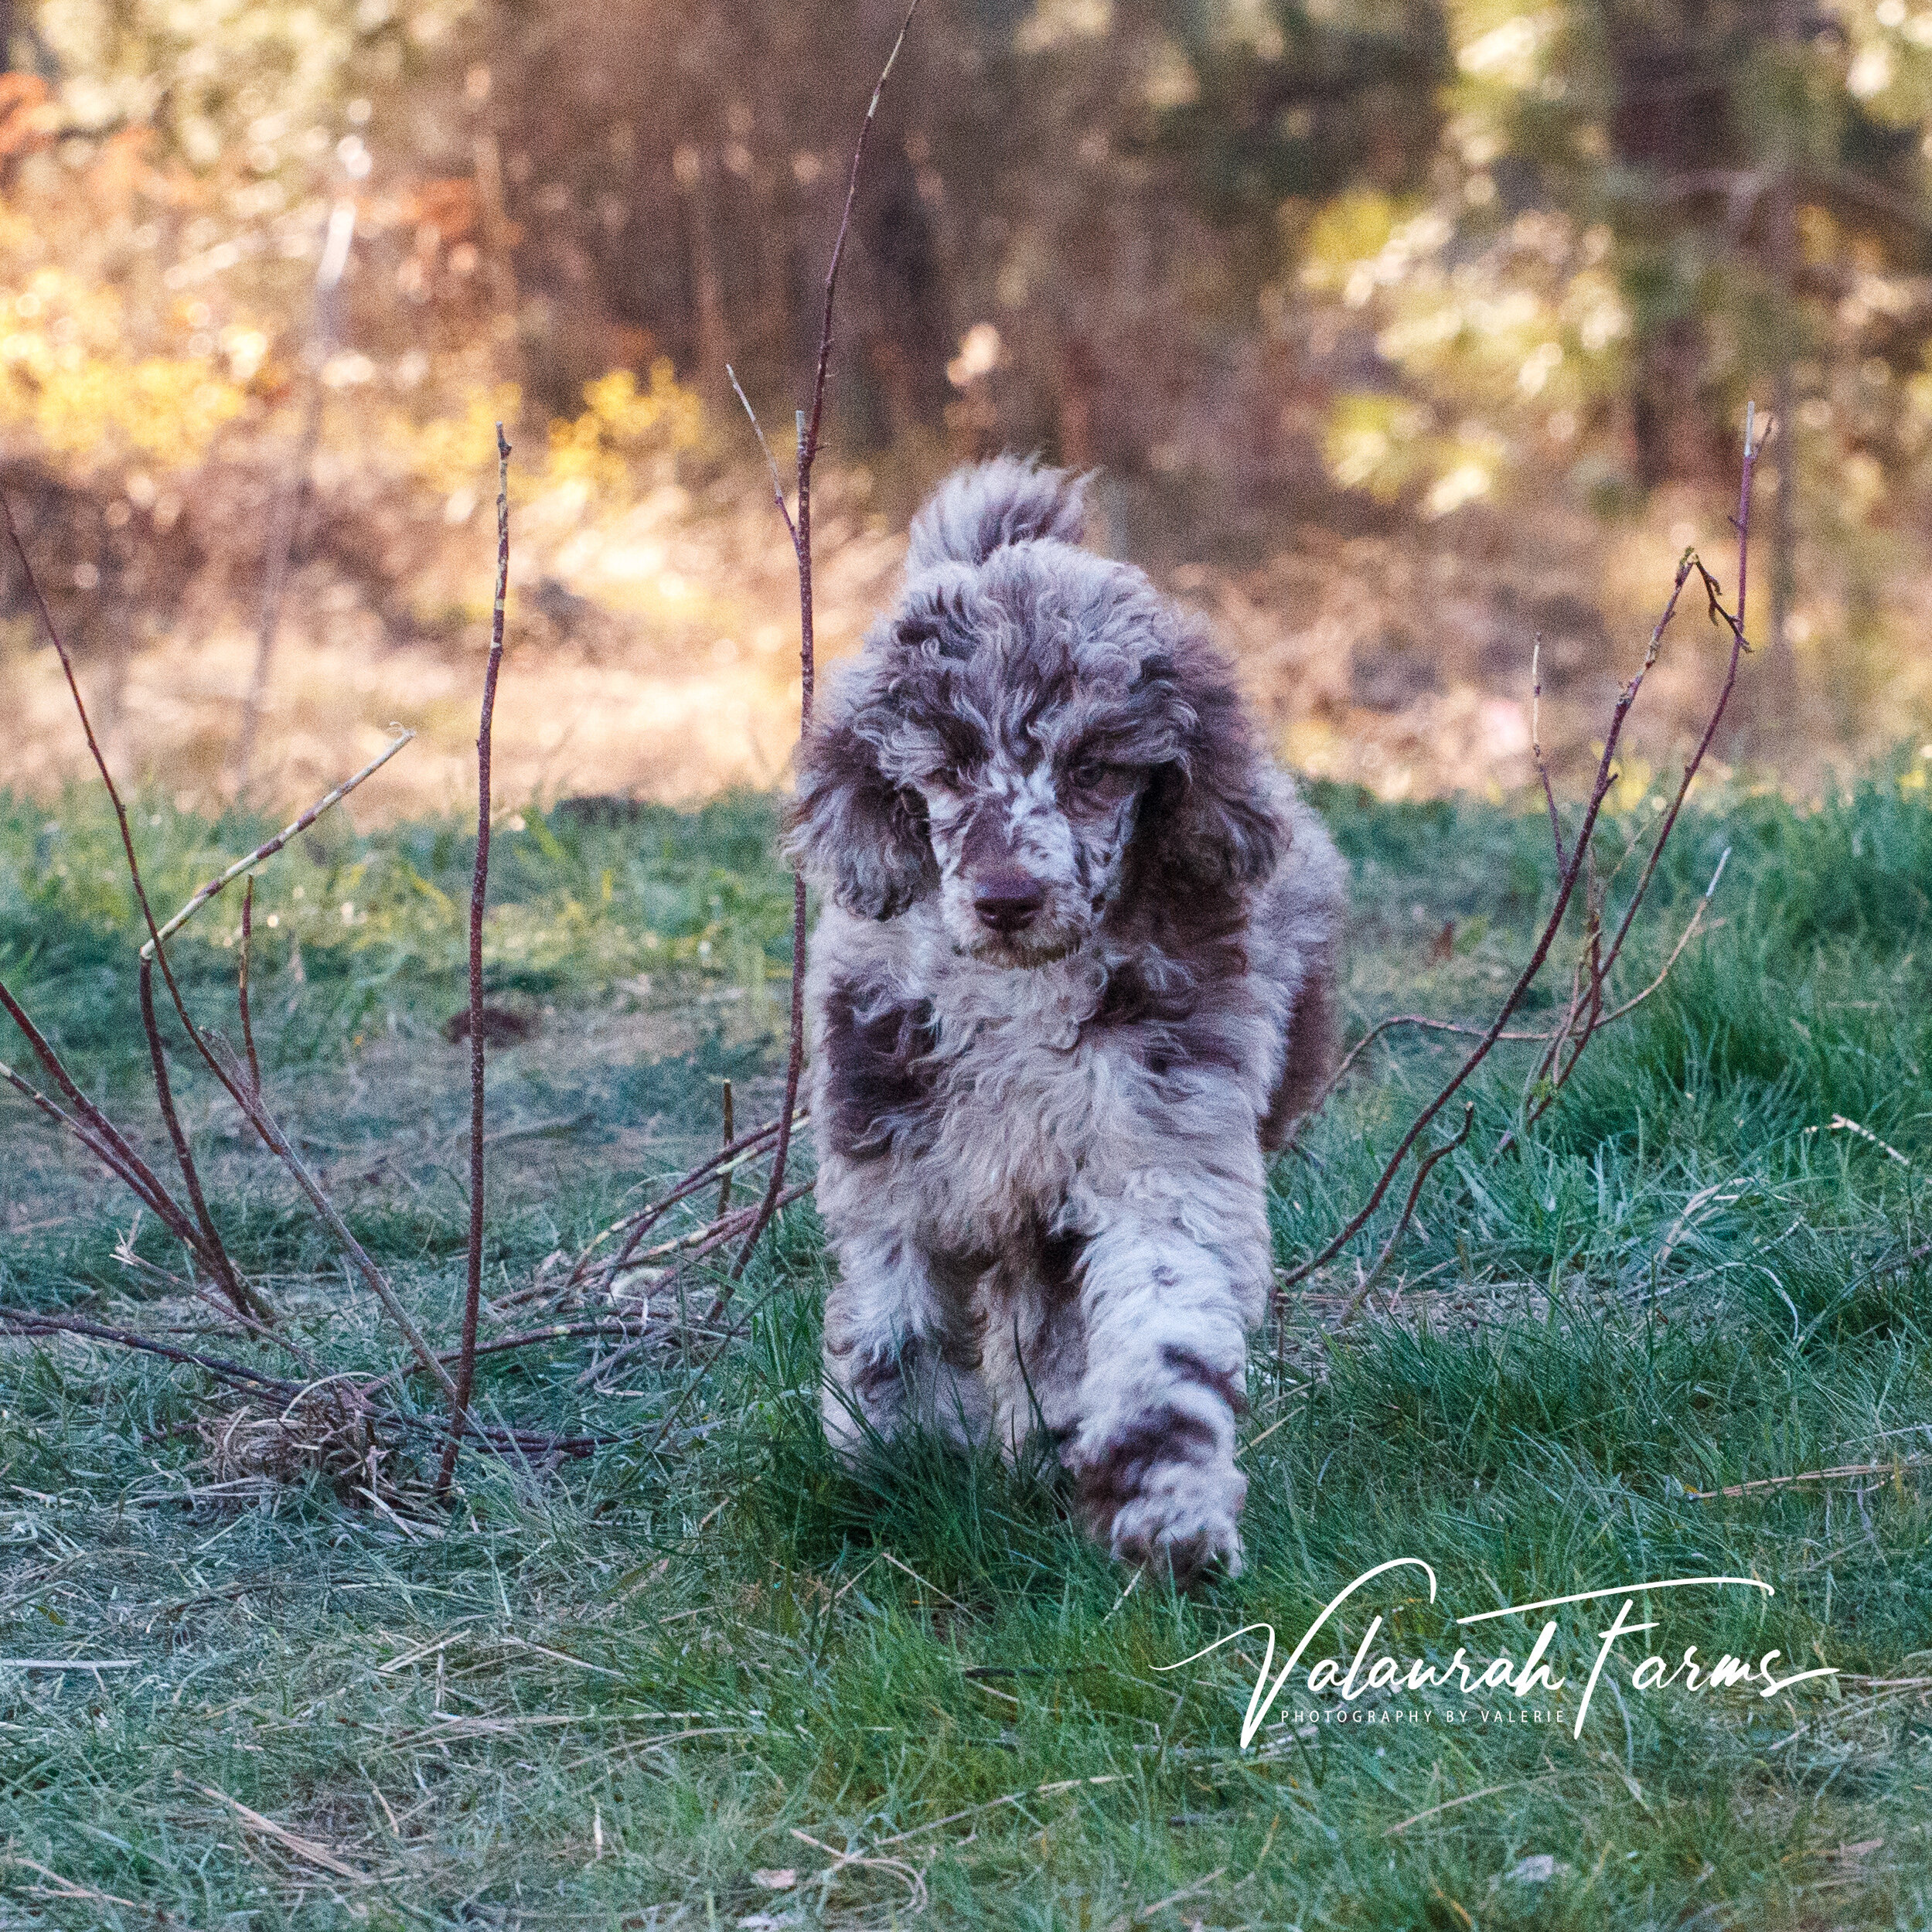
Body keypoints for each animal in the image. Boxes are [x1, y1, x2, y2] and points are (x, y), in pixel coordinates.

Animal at [784, 455, 1344, 1584]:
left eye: (1092, 769)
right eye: (948, 767)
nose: (1007, 896)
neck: (1017, 997)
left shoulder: (1162, 1156)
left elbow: (1163, 1334)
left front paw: (1167, 1503)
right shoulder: (892, 1156)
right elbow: (892, 1316)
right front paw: (892, 1463)